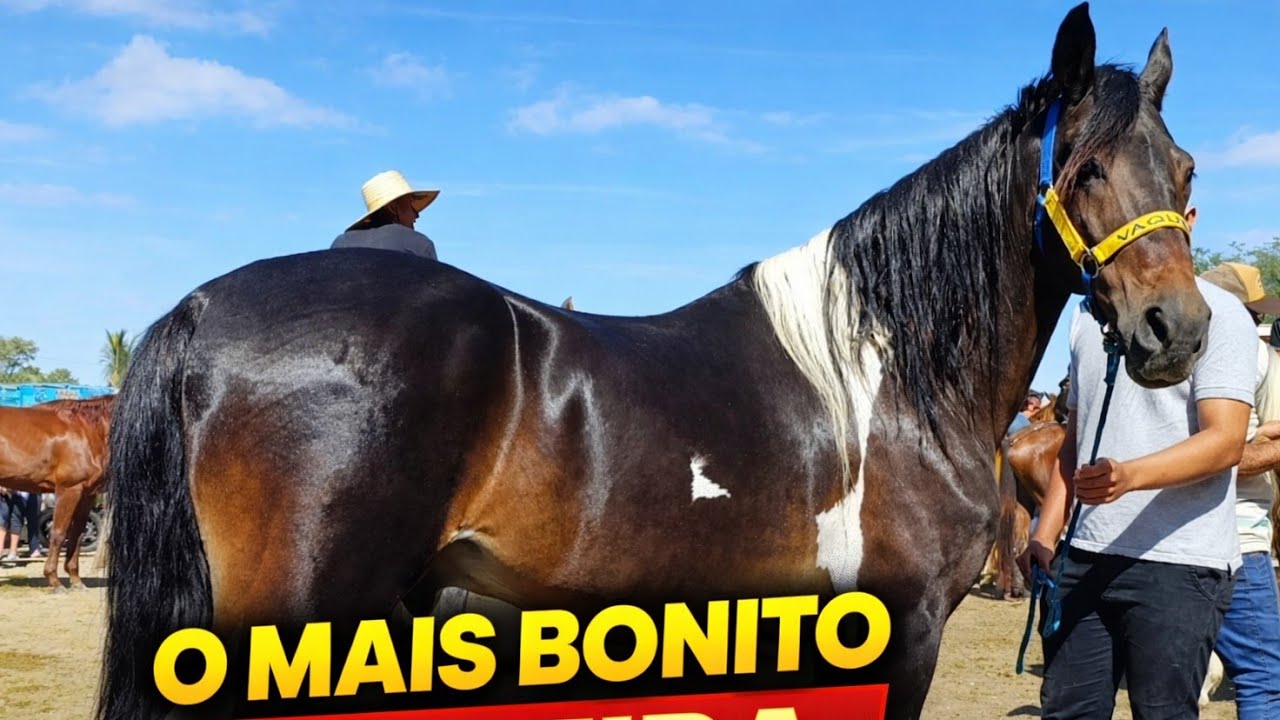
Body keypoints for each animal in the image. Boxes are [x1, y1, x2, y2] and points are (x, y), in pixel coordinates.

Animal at [0, 394, 115, 590]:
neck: (87, 430)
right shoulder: (69, 489)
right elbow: (59, 533)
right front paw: (54, 580)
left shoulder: (87, 495)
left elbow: (77, 534)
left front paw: (76, 580)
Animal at [97, 6, 1207, 719]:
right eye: (1083, 169)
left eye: (1185, 168)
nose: (1179, 330)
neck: (891, 380)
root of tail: (201, 307)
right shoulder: (904, 625)